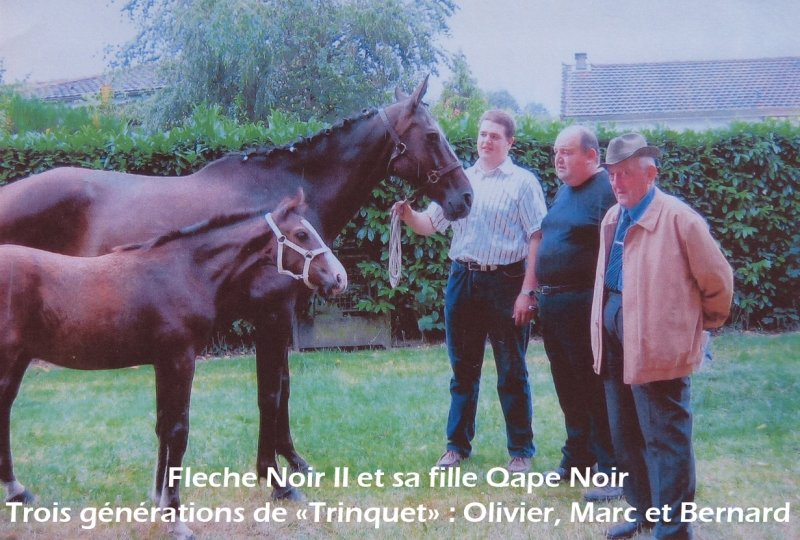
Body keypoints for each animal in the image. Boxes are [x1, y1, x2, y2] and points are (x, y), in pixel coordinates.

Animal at [0, 77, 473, 499]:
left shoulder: (281, 317)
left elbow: (284, 386)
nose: (465, 198)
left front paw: (293, 461)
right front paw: (272, 475)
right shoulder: (271, 313)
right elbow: (270, 392)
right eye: (433, 134)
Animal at [0, 190, 341, 538]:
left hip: (18, 359)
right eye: (301, 234)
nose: (339, 277)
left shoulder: (163, 361)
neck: (184, 271)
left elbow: (163, 426)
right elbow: (178, 431)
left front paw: (159, 500)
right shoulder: (180, 358)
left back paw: (18, 491)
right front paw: (175, 517)